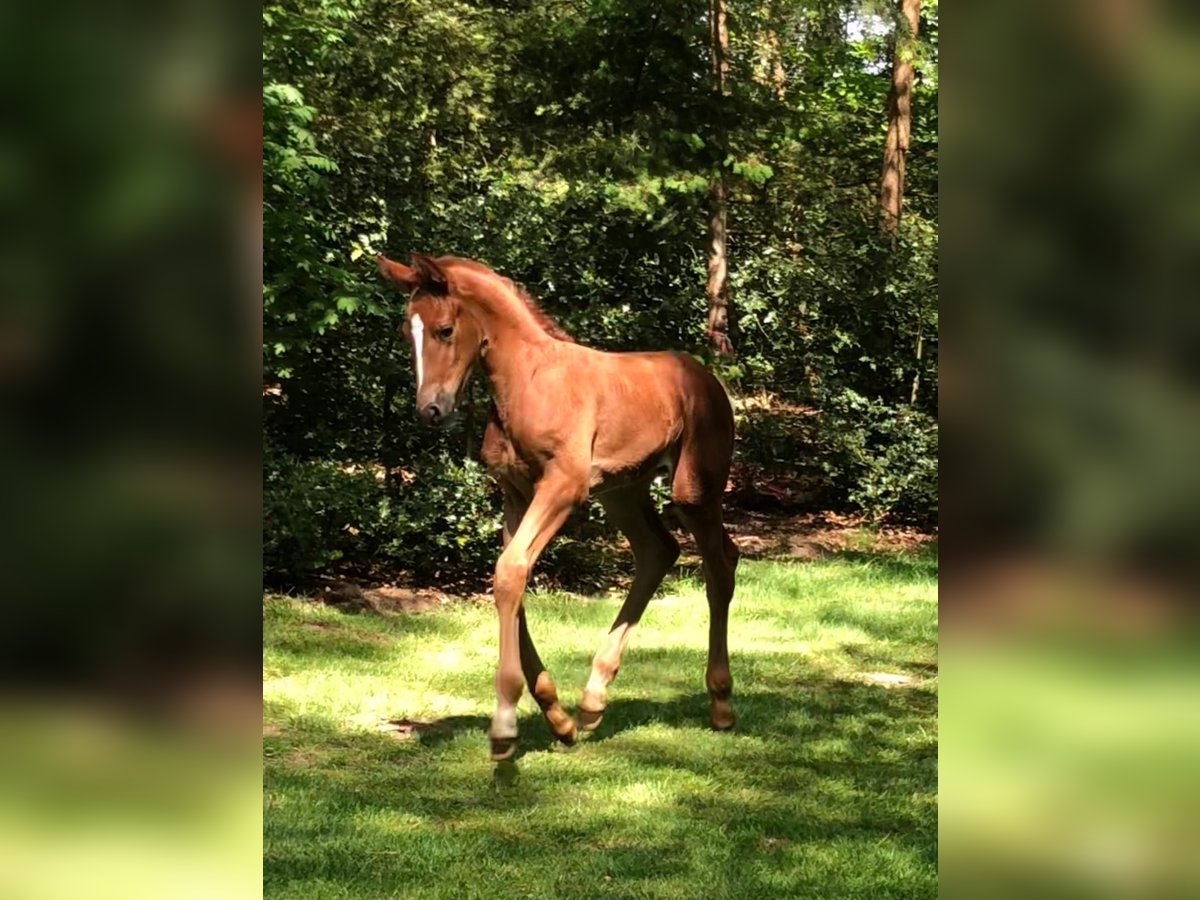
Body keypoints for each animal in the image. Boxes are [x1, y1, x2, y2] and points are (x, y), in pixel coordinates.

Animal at [376, 252, 739, 763]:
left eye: (445, 329)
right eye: (405, 331)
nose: (430, 409)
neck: (526, 383)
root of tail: (708, 376)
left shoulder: (563, 487)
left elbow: (510, 571)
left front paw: (505, 726)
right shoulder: (516, 492)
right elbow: (510, 575)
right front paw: (557, 718)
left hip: (693, 489)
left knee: (719, 565)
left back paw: (721, 702)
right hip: (622, 490)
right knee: (658, 551)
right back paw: (591, 703)